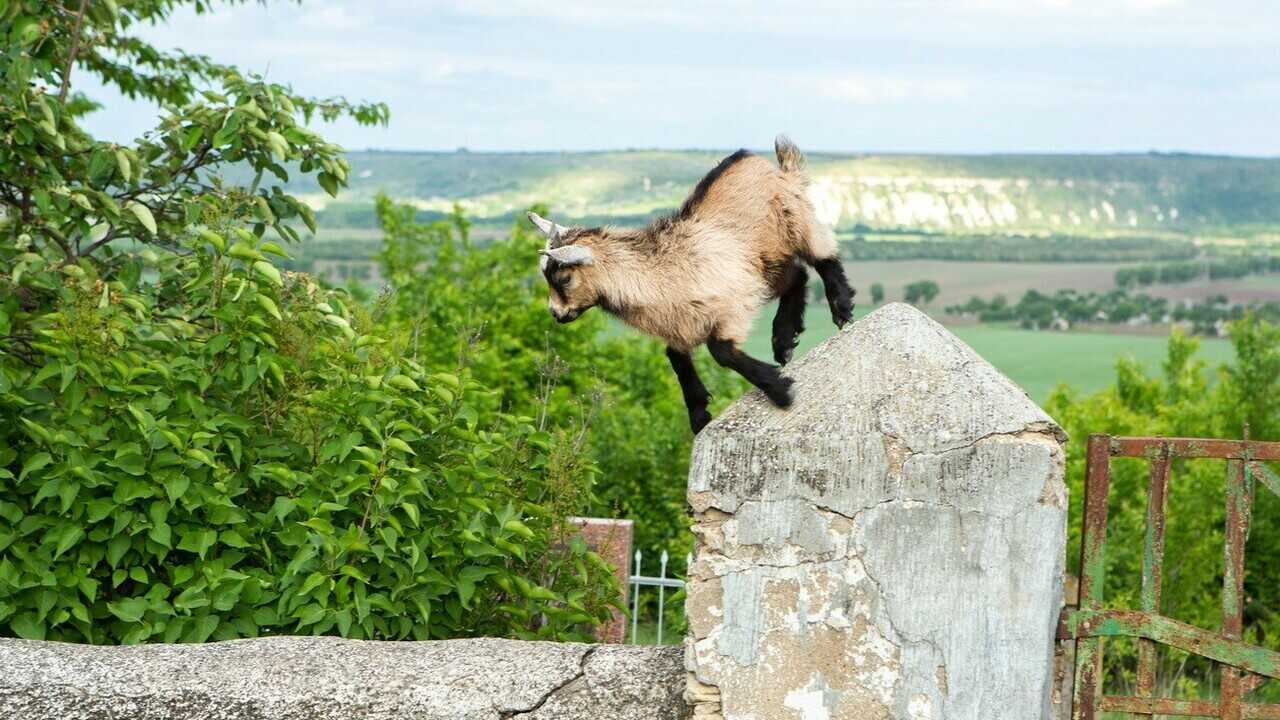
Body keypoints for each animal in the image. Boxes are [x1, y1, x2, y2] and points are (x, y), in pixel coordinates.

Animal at [524, 133, 855, 430]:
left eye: (564, 277)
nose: (556, 313)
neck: (661, 274)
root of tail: (780, 168)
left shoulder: (734, 303)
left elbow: (722, 351)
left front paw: (780, 390)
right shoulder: (681, 323)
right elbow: (675, 356)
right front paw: (698, 415)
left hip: (796, 220)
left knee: (822, 257)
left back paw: (840, 309)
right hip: (765, 264)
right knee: (797, 275)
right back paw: (783, 340)